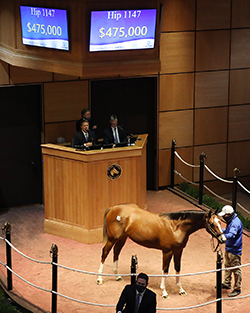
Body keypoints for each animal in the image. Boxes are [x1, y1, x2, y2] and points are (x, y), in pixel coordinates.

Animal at [96, 204, 226, 296]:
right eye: (211, 223)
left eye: (220, 222)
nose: (223, 239)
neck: (176, 227)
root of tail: (113, 208)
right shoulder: (167, 252)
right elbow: (165, 270)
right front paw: (164, 292)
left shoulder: (178, 251)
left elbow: (178, 268)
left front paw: (181, 290)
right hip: (112, 239)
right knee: (104, 253)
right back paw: (99, 279)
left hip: (122, 238)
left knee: (116, 252)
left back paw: (117, 276)